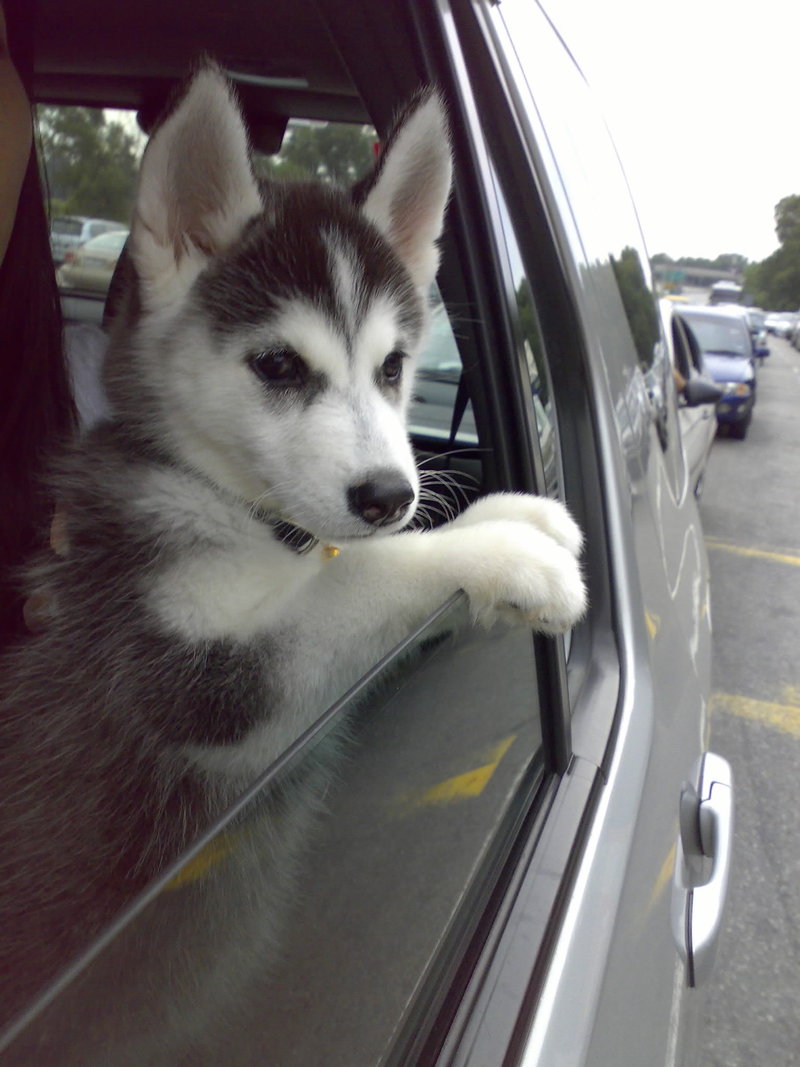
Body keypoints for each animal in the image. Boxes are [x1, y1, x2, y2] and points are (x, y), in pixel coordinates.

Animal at [0, 62, 588, 1028]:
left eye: (393, 368)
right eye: (278, 366)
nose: (391, 495)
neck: (233, 505)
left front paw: (510, 514)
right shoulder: (182, 670)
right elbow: (362, 581)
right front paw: (508, 553)